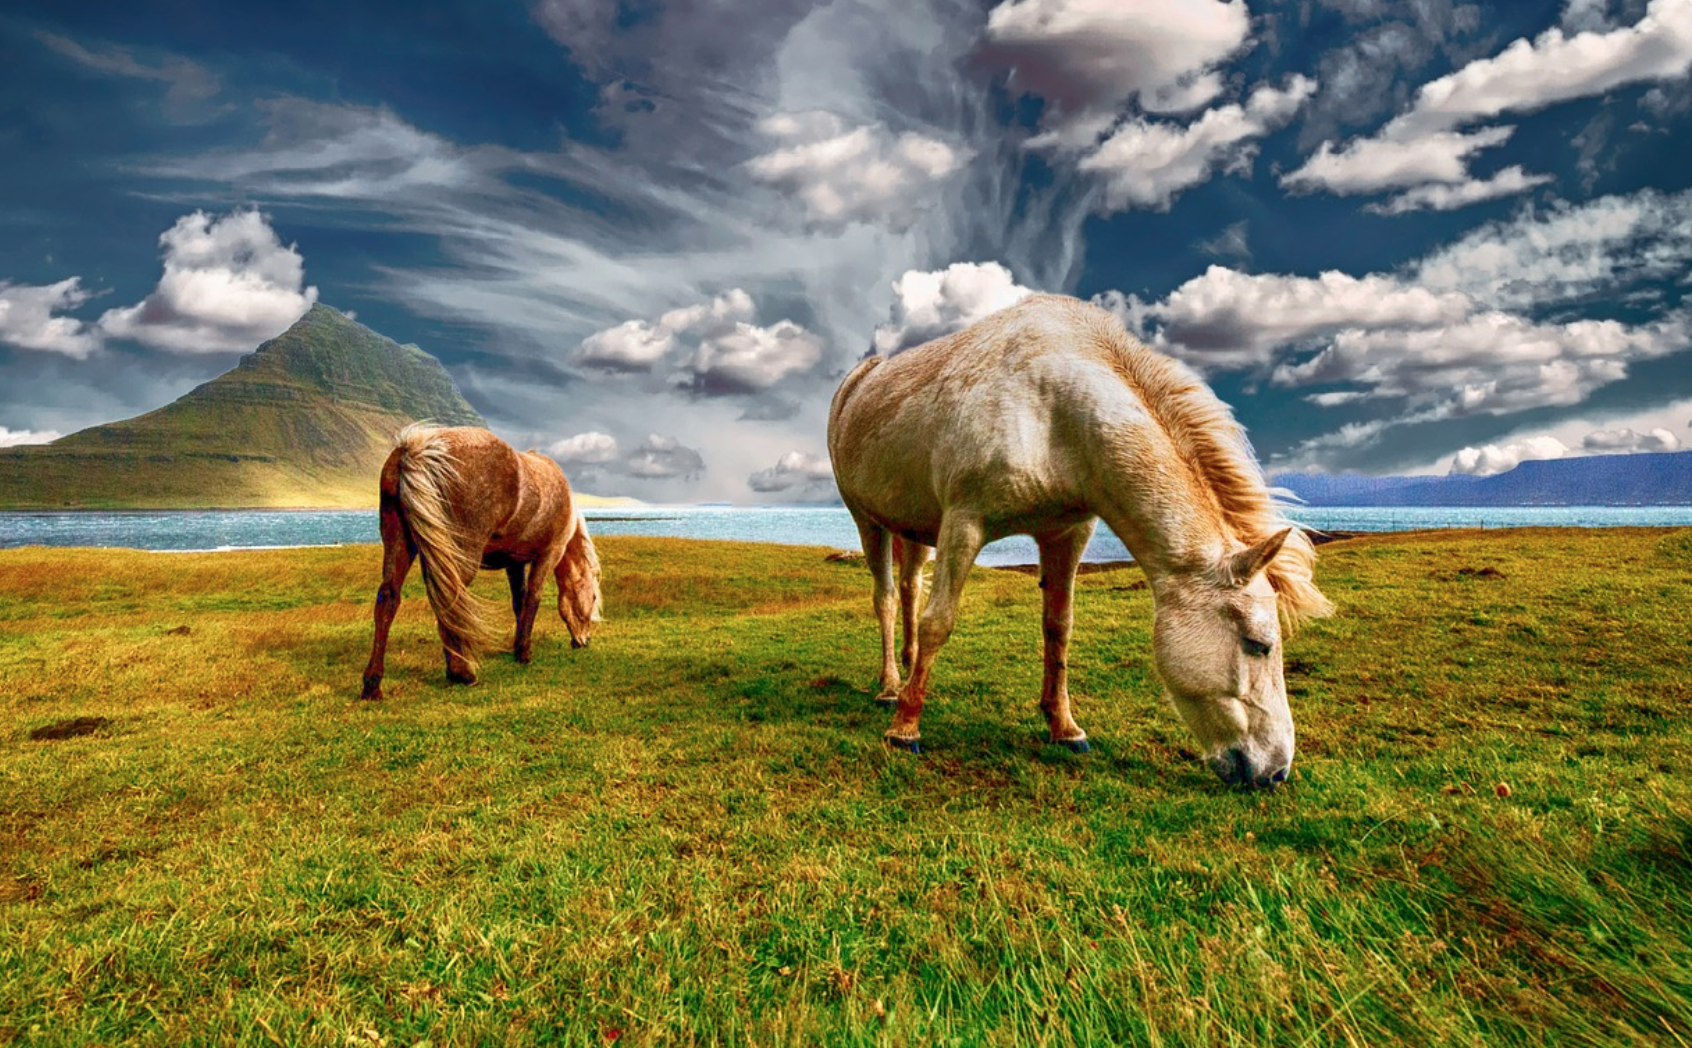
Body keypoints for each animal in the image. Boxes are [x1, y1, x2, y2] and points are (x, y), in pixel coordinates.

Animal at [360, 424, 602, 700]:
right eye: (593, 597)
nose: (584, 640)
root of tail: (418, 448)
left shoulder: (514, 563)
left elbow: (518, 602)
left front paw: (516, 647)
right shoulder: (549, 554)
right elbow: (533, 599)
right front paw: (524, 653)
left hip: (400, 543)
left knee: (388, 599)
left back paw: (373, 684)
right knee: (450, 601)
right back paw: (462, 673)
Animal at [827, 294, 1332, 788]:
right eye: (1258, 644)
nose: (1276, 771)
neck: (1054, 410)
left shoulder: (1066, 534)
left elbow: (1059, 629)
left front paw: (1064, 727)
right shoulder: (963, 524)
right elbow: (939, 622)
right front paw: (905, 729)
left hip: (915, 528)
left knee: (911, 588)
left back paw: (908, 670)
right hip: (867, 520)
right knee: (888, 598)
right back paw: (891, 688)